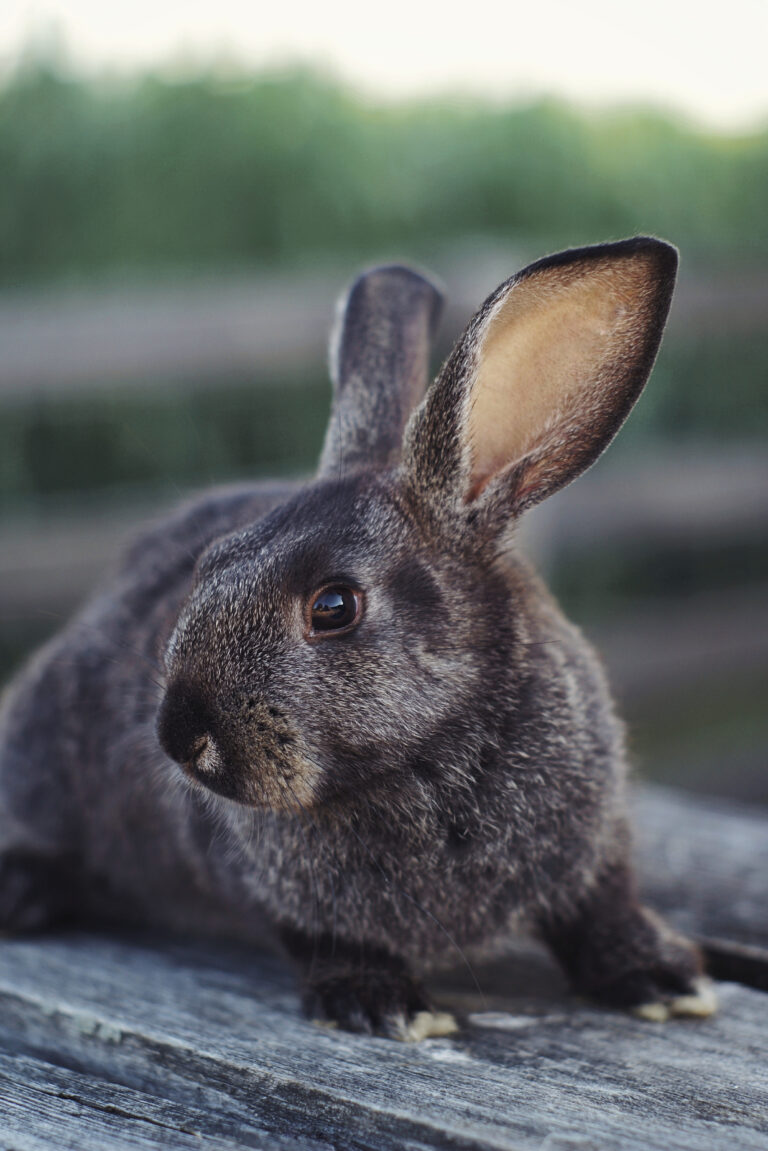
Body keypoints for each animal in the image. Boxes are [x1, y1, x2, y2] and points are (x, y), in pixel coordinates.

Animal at [0, 236, 717, 1040]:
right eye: (211, 560)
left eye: (334, 605)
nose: (179, 736)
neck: (424, 760)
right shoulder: (279, 894)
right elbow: (324, 937)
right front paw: (381, 1002)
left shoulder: (592, 849)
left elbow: (603, 906)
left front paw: (665, 980)